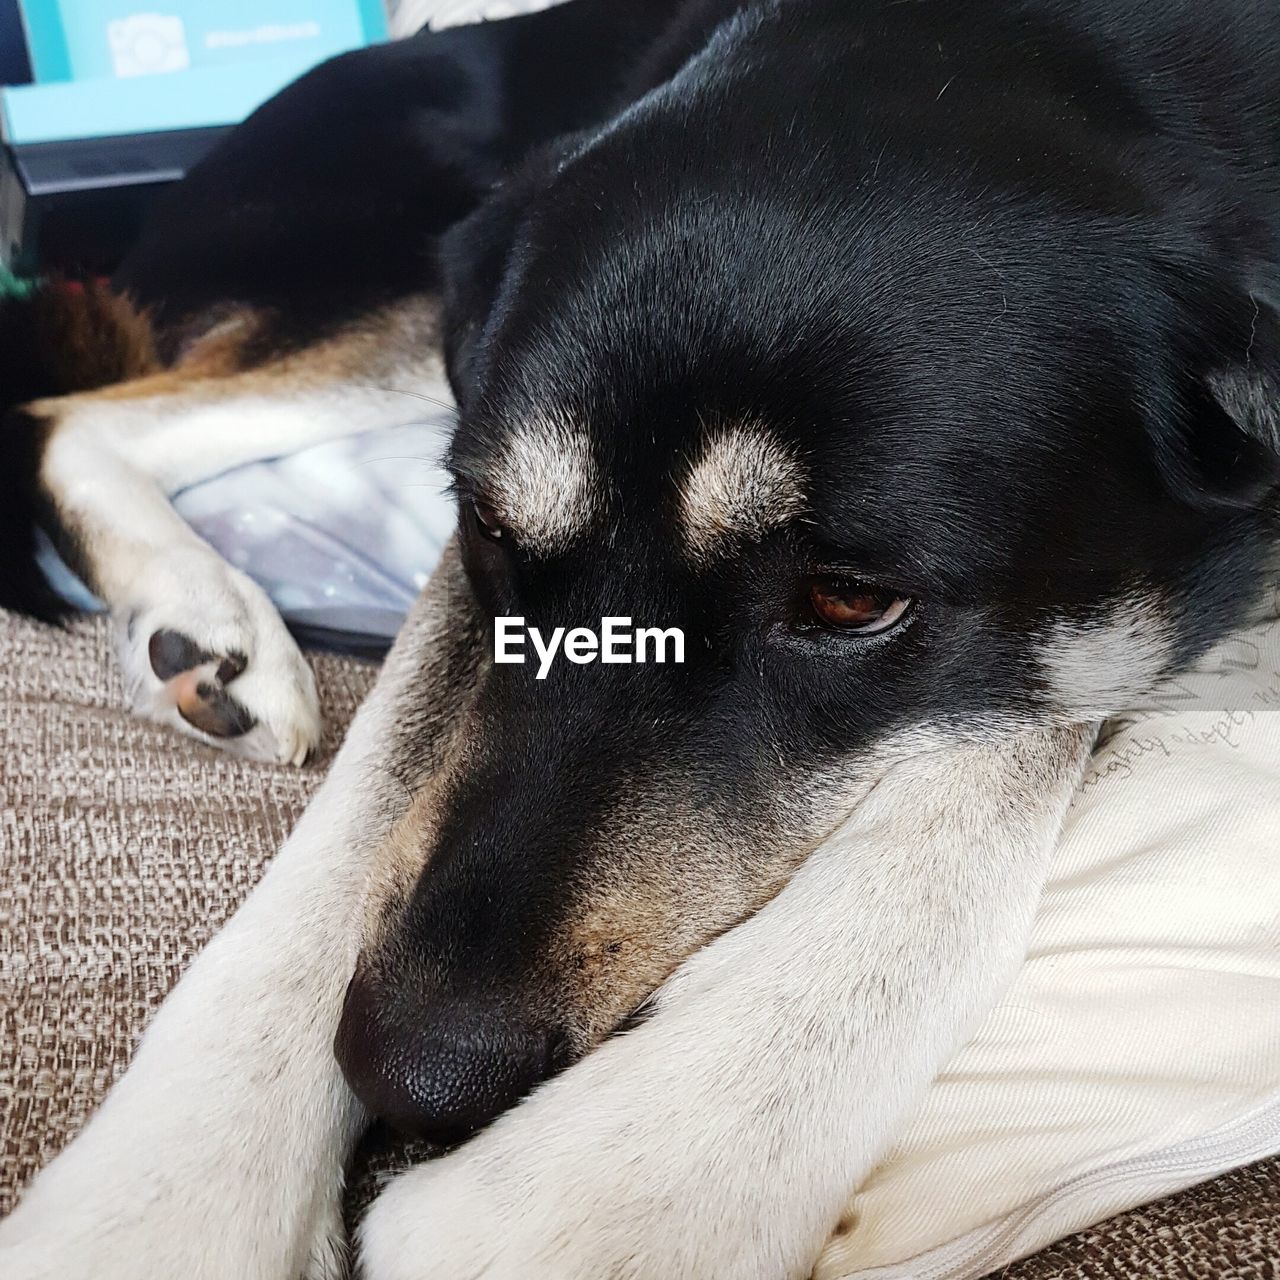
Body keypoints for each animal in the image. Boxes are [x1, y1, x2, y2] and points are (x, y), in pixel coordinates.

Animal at [2, 0, 1280, 1274]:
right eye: (482, 518)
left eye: (846, 599)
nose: (413, 1075)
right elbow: (374, 792)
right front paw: (168, 1195)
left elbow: (1012, 739)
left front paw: (631, 1169)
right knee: (64, 414)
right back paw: (199, 614)